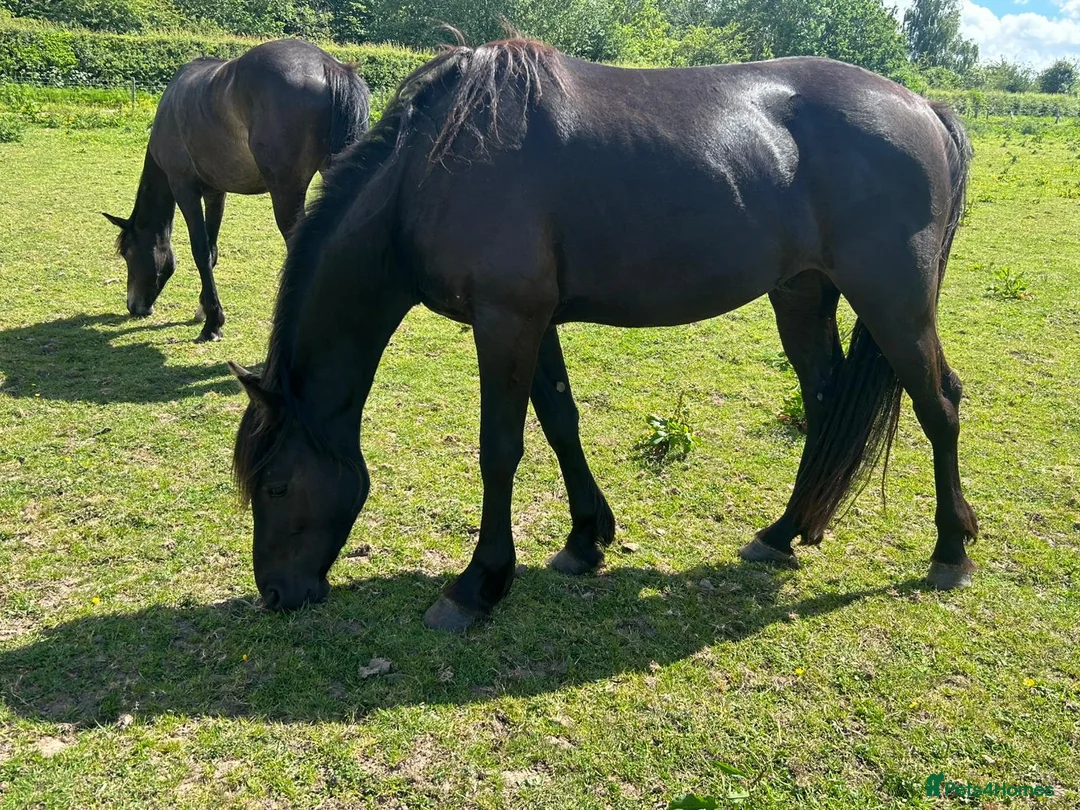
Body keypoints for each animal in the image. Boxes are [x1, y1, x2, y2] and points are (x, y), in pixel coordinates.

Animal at [103, 39, 371, 342]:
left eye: (127, 253)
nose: (134, 307)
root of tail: (329, 65)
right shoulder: (215, 193)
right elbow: (212, 249)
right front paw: (203, 310)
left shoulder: (184, 188)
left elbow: (200, 250)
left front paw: (212, 323)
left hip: (286, 195)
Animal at [230, 38, 978, 632]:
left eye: (275, 488)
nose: (277, 595)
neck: (431, 171)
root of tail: (924, 108)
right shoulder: (531, 322)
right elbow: (561, 422)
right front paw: (586, 538)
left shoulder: (505, 321)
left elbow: (500, 449)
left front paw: (478, 585)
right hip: (802, 294)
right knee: (825, 407)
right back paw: (784, 533)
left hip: (894, 301)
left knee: (939, 401)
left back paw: (951, 552)